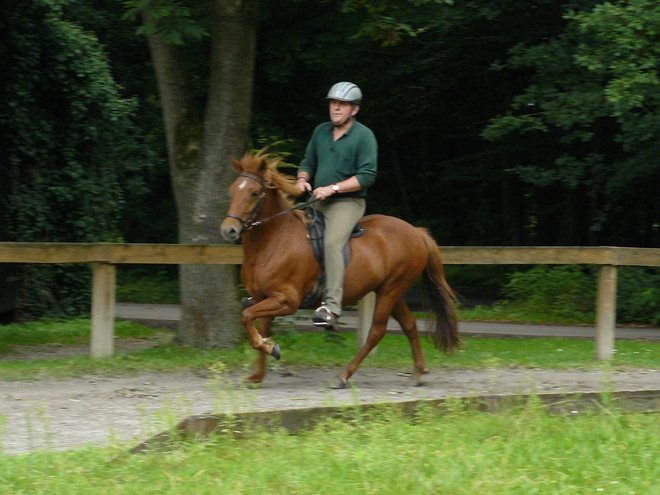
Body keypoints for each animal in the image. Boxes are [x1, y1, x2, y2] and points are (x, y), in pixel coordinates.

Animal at [222, 153, 458, 390]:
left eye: (253, 193)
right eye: (231, 191)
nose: (228, 230)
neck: (274, 240)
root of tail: (416, 232)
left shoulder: (286, 301)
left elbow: (246, 316)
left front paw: (270, 348)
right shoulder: (262, 298)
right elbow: (258, 327)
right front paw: (257, 374)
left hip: (391, 289)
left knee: (376, 332)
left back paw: (343, 376)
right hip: (392, 291)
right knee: (409, 324)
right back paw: (419, 371)